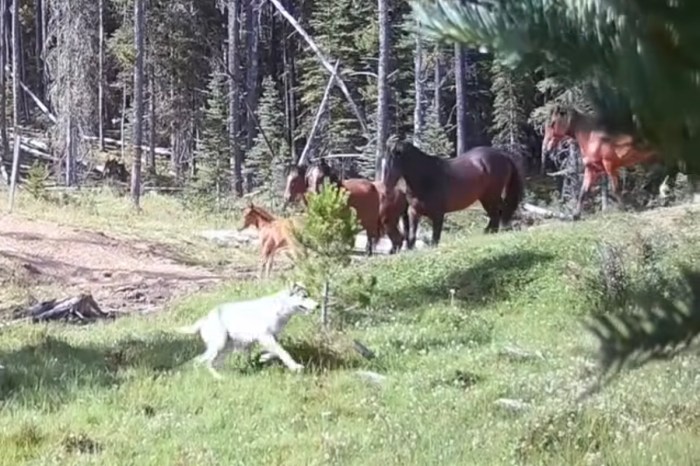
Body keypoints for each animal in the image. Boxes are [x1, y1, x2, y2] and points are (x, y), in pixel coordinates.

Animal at [383, 135, 524, 248]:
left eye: (392, 162)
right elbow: (412, 236)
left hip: (492, 195)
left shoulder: (438, 214)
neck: (425, 178)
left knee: (498, 211)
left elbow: (435, 238)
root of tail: (504, 155)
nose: (386, 188)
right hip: (485, 197)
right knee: (496, 212)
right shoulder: (413, 211)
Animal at [540, 104, 692, 218]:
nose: (546, 148)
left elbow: (615, 189)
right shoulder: (592, 168)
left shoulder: (610, 165)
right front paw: (576, 215)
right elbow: (583, 191)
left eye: (552, 123)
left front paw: (625, 209)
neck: (592, 136)